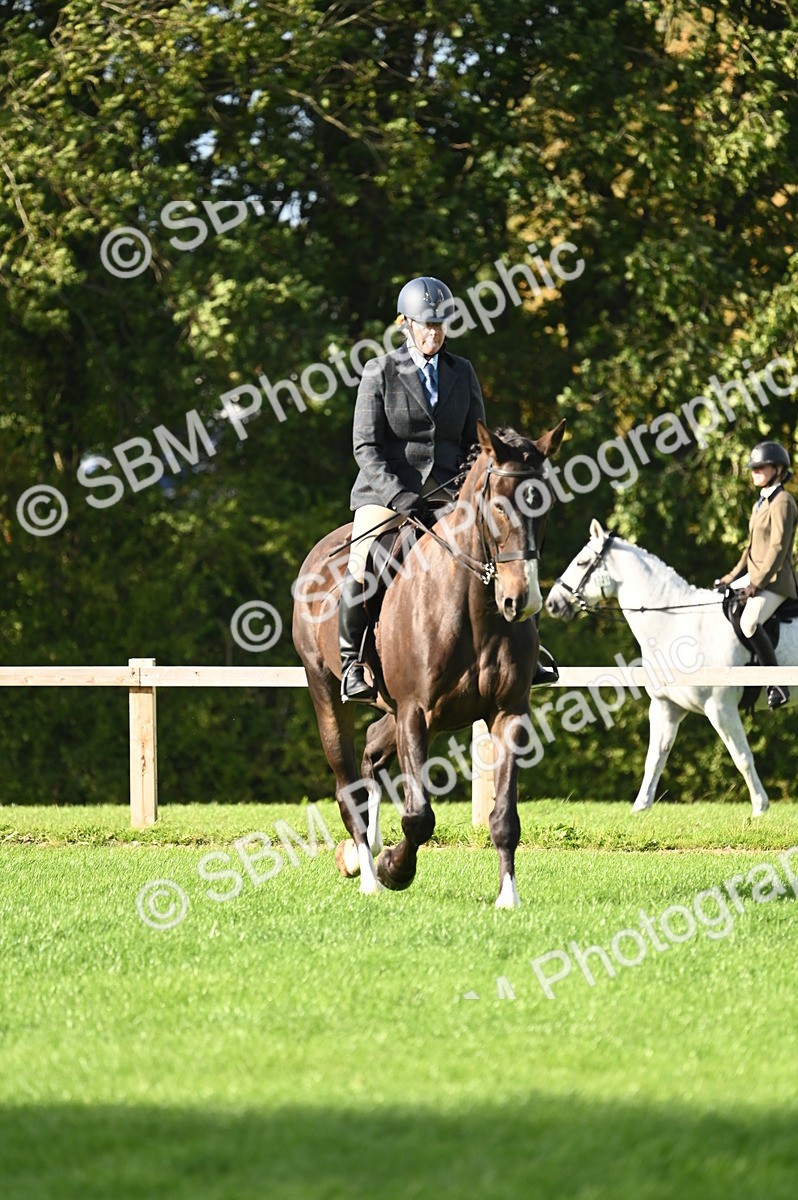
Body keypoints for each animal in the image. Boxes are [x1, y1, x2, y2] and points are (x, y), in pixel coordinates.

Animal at [292, 418, 566, 907]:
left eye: (545, 504)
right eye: (499, 507)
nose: (522, 601)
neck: (476, 609)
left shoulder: (507, 713)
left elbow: (504, 817)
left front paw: (508, 897)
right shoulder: (414, 713)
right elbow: (419, 816)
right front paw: (394, 869)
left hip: (400, 712)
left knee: (371, 749)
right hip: (326, 693)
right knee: (348, 788)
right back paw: (367, 874)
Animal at [545, 519, 797, 816]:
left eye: (582, 562)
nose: (552, 603)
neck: (675, 624)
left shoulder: (720, 708)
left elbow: (742, 756)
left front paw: (760, 807)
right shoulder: (666, 706)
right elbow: (655, 757)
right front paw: (640, 808)